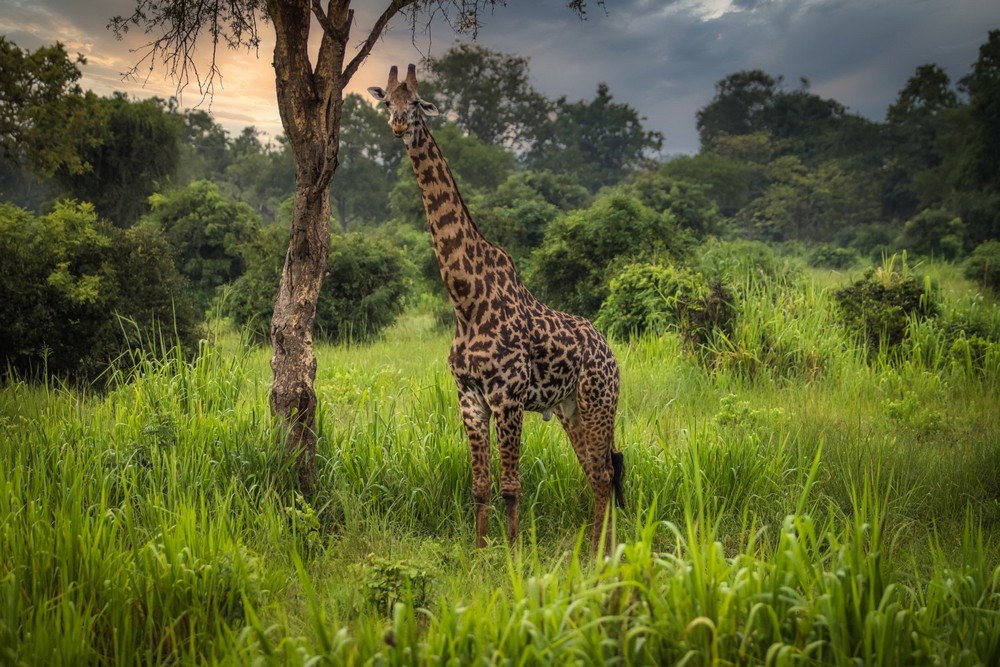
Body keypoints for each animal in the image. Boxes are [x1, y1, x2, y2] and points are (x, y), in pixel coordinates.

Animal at [370, 64, 624, 552]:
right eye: (386, 101)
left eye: (417, 103)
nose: (397, 125)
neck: (465, 299)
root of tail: (610, 352)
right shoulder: (470, 397)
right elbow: (480, 485)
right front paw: (480, 548)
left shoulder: (507, 397)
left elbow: (510, 486)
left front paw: (512, 551)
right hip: (571, 408)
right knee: (597, 470)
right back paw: (596, 546)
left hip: (599, 401)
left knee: (604, 471)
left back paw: (599, 551)